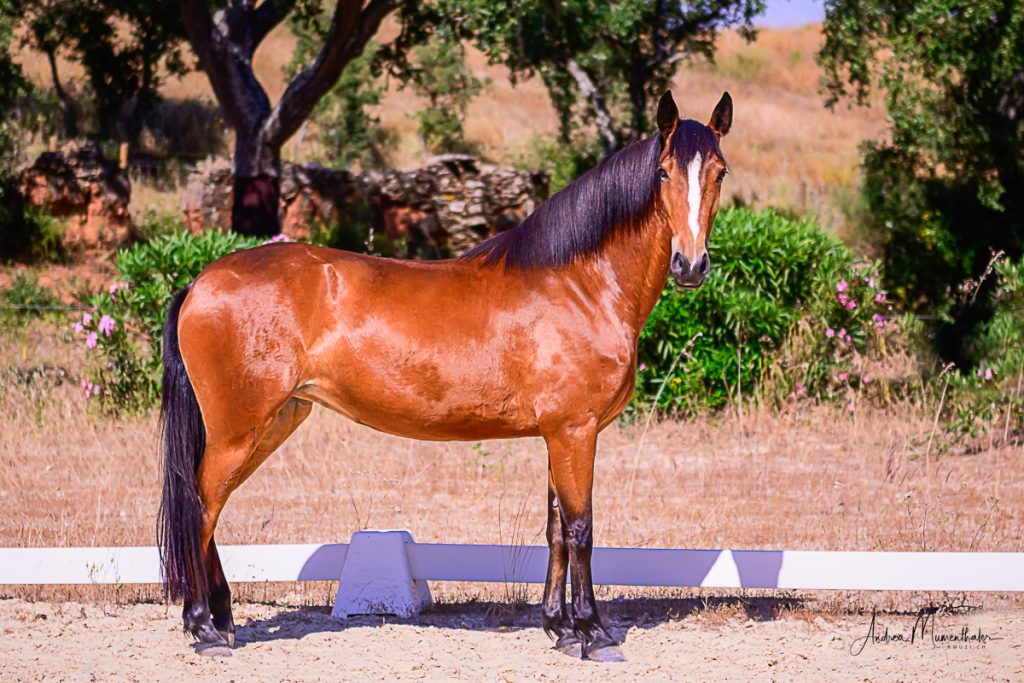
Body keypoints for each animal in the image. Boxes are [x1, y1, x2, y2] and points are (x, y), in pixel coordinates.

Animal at [159, 88, 733, 659]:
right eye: (663, 172)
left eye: (720, 172)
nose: (690, 265)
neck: (579, 284)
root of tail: (201, 281)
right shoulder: (576, 431)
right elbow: (580, 530)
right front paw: (593, 633)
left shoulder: (559, 435)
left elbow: (554, 528)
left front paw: (560, 628)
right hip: (239, 431)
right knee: (199, 508)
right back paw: (203, 628)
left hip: (275, 422)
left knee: (209, 509)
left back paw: (222, 621)